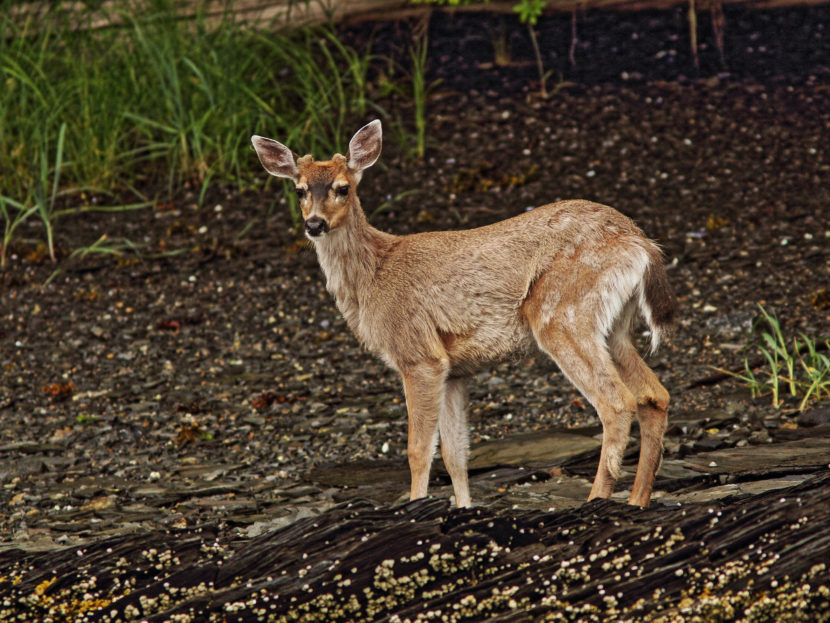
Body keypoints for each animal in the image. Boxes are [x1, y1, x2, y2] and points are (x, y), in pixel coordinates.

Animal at [250, 119, 680, 510]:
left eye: (343, 187)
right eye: (299, 190)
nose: (314, 223)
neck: (374, 279)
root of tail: (640, 243)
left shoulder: (419, 354)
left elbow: (418, 449)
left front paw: (416, 504)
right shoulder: (455, 370)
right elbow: (456, 454)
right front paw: (462, 508)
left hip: (562, 313)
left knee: (617, 402)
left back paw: (596, 500)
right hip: (613, 327)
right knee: (654, 395)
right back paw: (636, 501)